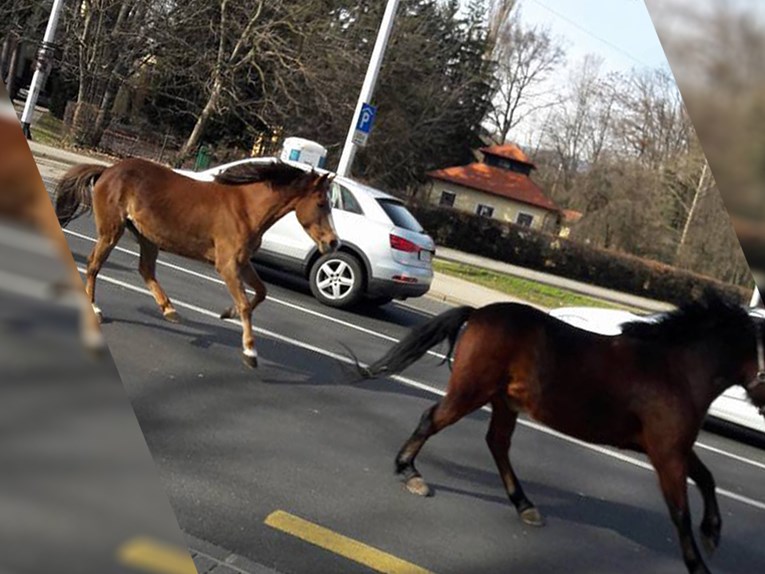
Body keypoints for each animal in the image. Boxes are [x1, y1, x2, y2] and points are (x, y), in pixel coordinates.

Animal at [55, 159, 336, 364]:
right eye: (322, 203)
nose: (333, 243)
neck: (246, 209)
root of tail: (107, 170)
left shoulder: (243, 262)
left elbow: (261, 292)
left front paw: (227, 313)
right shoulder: (227, 265)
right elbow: (246, 304)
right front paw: (250, 352)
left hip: (147, 237)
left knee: (145, 269)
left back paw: (170, 310)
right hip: (112, 231)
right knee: (94, 264)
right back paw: (96, 310)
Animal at [358, 296, 764, 574]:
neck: (675, 369)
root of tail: (478, 312)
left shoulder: (675, 447)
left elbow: (708, 479)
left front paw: (712, 534)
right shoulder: (666, 453)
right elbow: (680, 510)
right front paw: (700, 561)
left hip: (503, 401)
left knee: (497, 443)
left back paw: (525, 505)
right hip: (471, 391)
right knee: (432, 419)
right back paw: (410, 473)